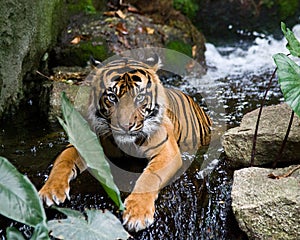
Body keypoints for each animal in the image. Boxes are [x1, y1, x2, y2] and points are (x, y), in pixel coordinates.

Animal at [38, 54, 212, 232]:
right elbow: (62, 163)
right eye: (112, 97)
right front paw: (50, 191)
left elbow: (149, 177)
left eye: (139, 97)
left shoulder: (166, 151)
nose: (125, 125)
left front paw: (137, 213)